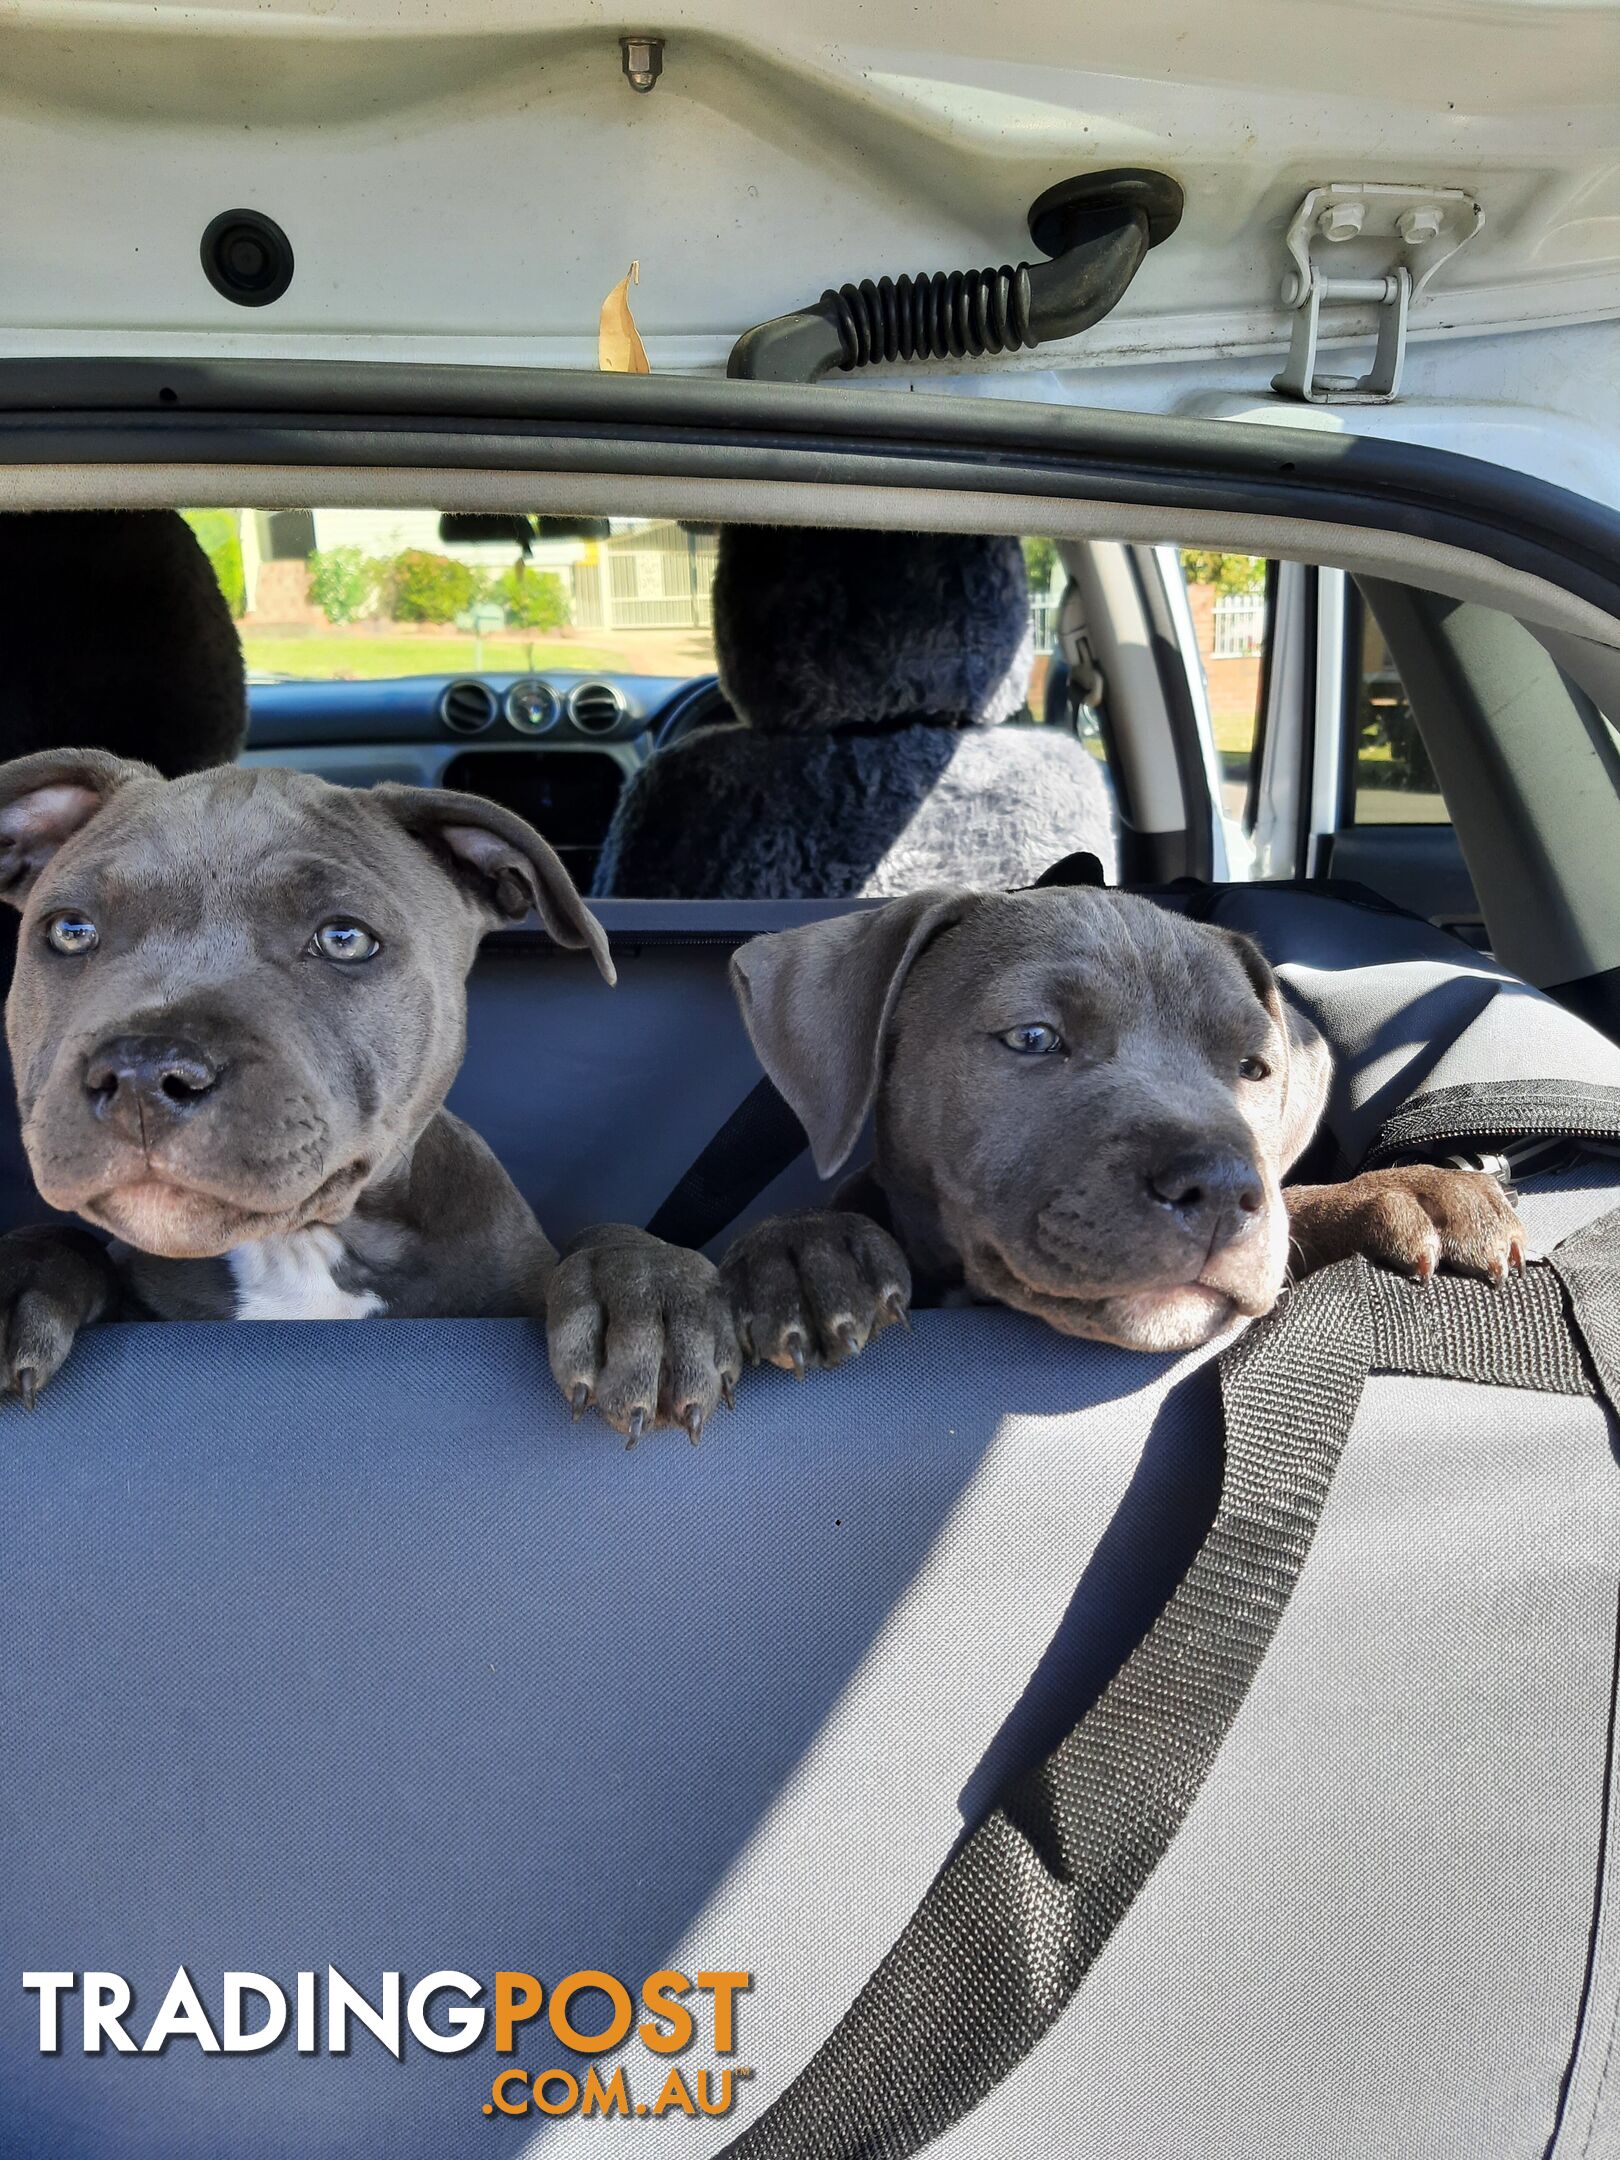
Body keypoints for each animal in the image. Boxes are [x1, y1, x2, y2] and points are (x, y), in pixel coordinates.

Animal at [0, 751, 734, 1442]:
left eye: (345, 939)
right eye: (70, 930)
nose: (142, 1073)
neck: (304, 1248)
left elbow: (605, 1237)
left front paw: (646, 1291)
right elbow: (69, 1242)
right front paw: (22, 1275)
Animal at [704, 889, 1529, 1365]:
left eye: (1255, 1067)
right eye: (1034, 1038)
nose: (1220, 1189)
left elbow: (1295, 1208)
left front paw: (1411, 1191)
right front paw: (803, 1251)